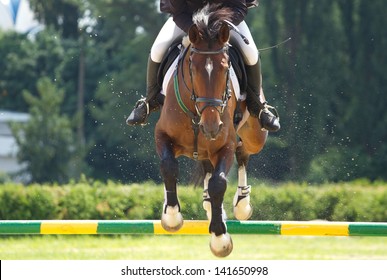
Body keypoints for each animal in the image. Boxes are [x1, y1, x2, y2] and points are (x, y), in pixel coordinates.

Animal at [155, 4, 266, 258]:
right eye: (193, 70)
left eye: (225, 70)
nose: (212, 127)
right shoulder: (162, 136)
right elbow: (169, 167)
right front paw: (172, 216)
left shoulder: (224, 145)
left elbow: (219, 182)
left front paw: (219, 238)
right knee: (207, 165)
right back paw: (208, 204)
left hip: (255, 135)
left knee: (243, 153)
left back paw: (241, 204)